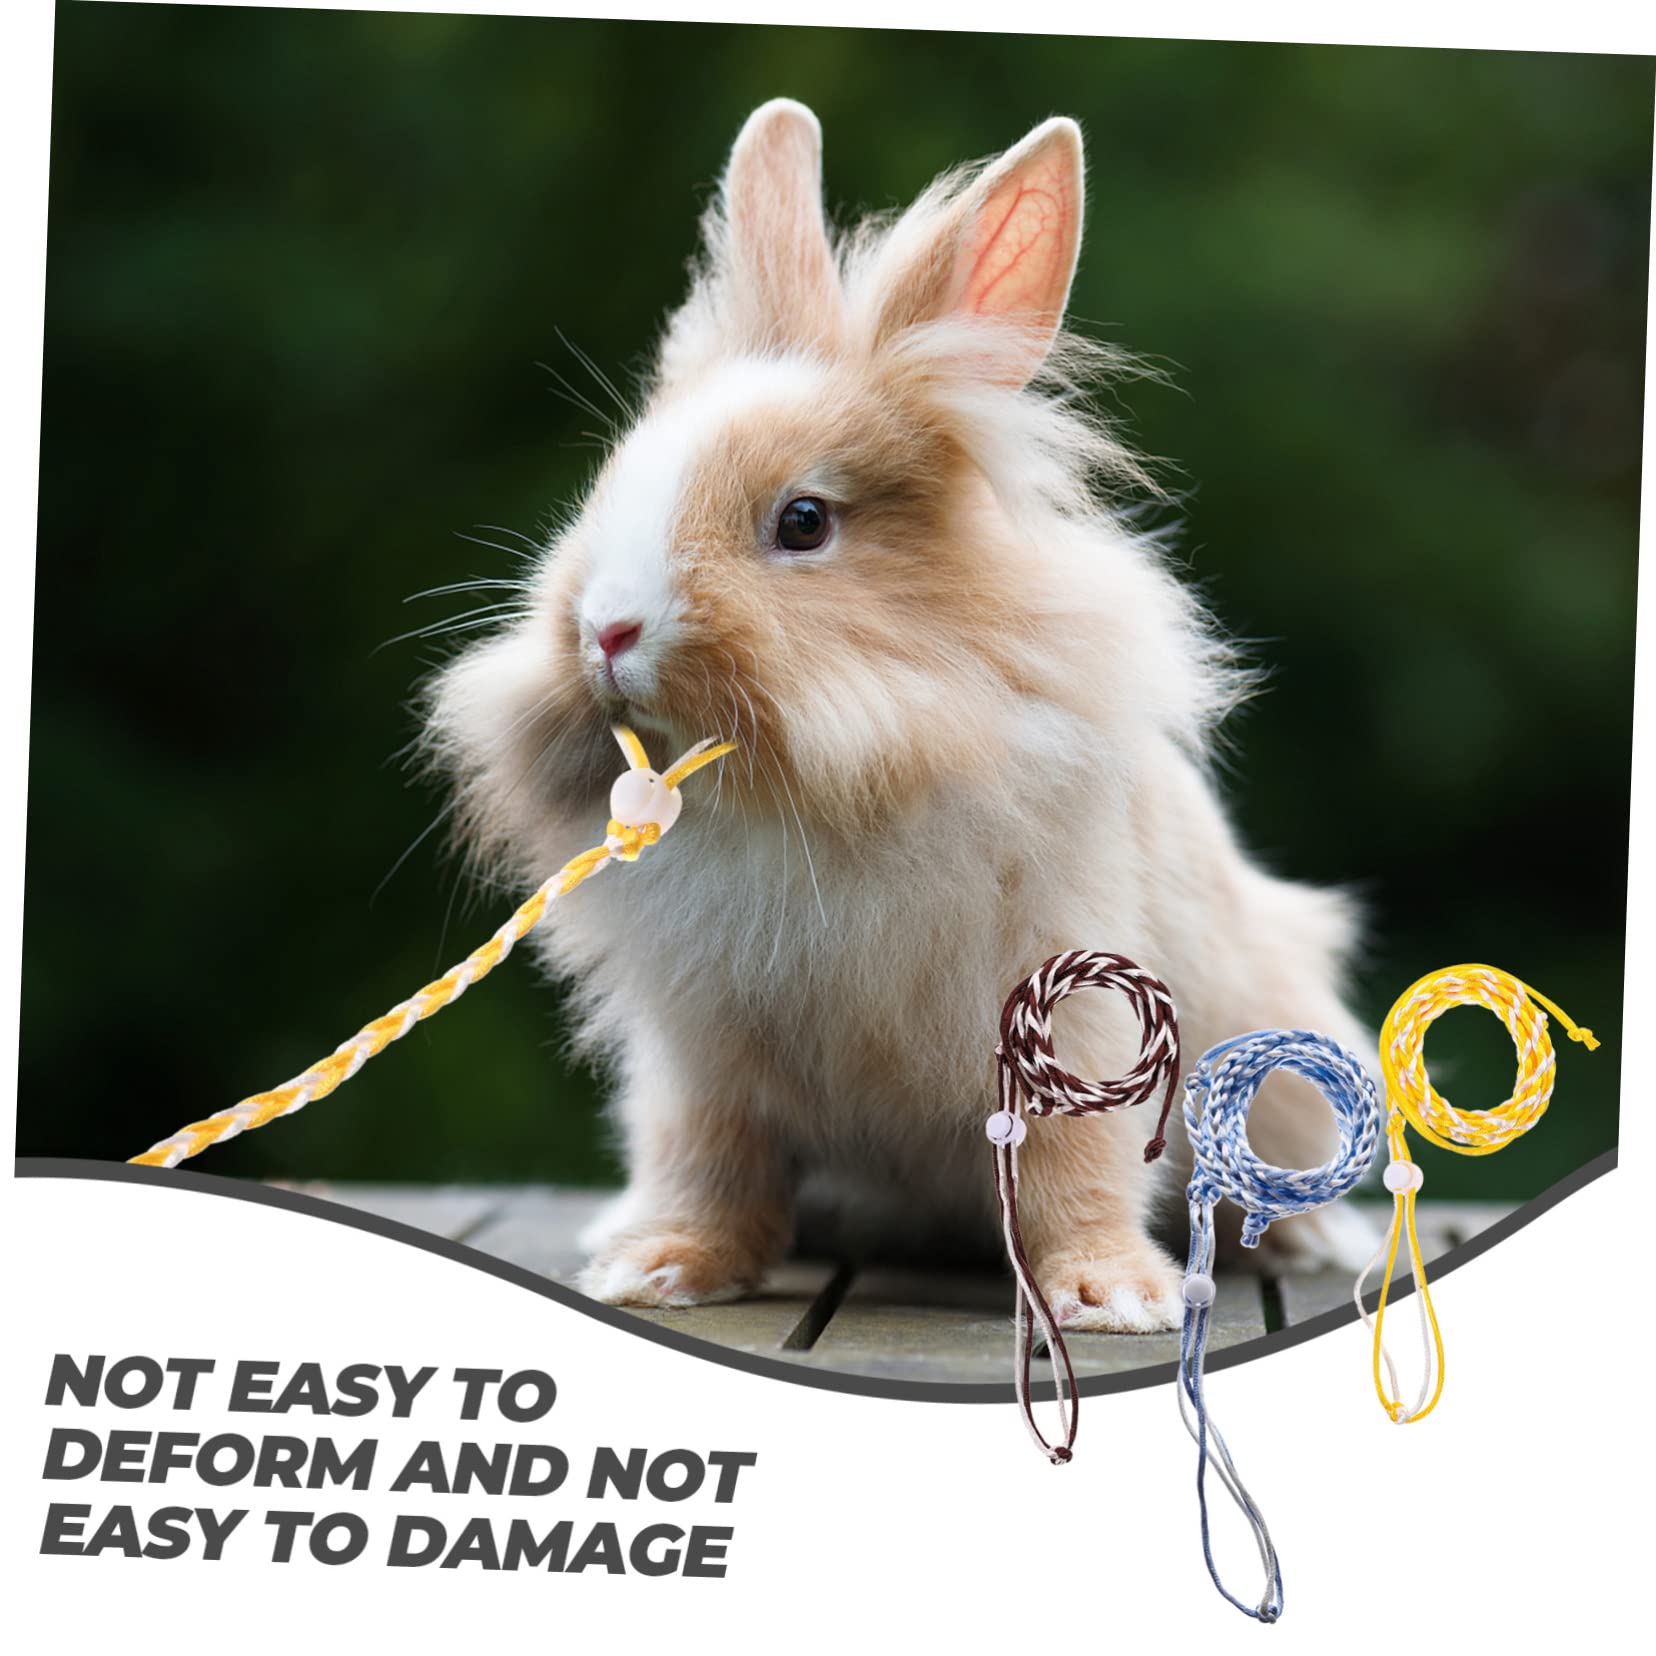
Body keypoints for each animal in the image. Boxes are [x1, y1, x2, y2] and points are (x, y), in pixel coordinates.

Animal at [425, 99, 1377, 1333]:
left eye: (804, 521)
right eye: (609, 488)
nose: (607, 631)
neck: (805, 789)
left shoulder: (1073, 1011)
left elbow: (1077, 1166)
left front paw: (1109, 1295)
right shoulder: (702, 1054)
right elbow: (708, 1160)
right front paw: (667, 1269)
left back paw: (1308, 1238)